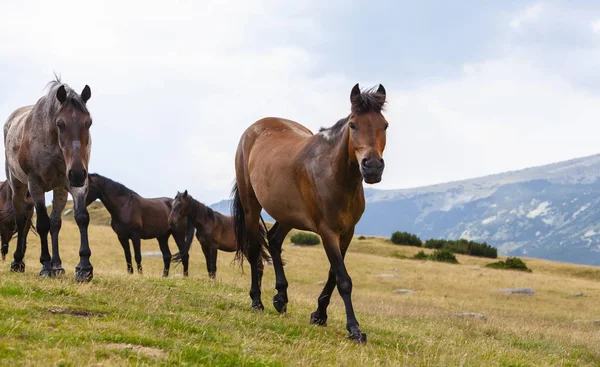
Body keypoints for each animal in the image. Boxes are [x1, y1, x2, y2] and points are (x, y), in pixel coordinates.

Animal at [3, 77, 95, 282]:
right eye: (60, 123)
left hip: (60, 189)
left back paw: (57, 265)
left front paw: (84, 268)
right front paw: (45, 266)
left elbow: (81, 217)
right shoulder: (35, 184)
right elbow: (42, 223)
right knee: (21, 219)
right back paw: (18, 262)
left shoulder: (75, 183)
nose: (77, 174)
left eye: (89, 122)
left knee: (55, 223)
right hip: (18, 185)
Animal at [232, 82, 386, 342]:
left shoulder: (347, 232)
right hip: (251, 206)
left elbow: (334, 274)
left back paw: (281, 298)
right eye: (353, 124)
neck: (334, 174)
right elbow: (343, 279)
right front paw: (354, 328)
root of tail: (253, 130)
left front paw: (319, 315)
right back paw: (257, 301)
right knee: (254, 251)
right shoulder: (327, 231)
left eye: (385, 125)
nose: (373, 167)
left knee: (274, 240)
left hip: (287, 215)